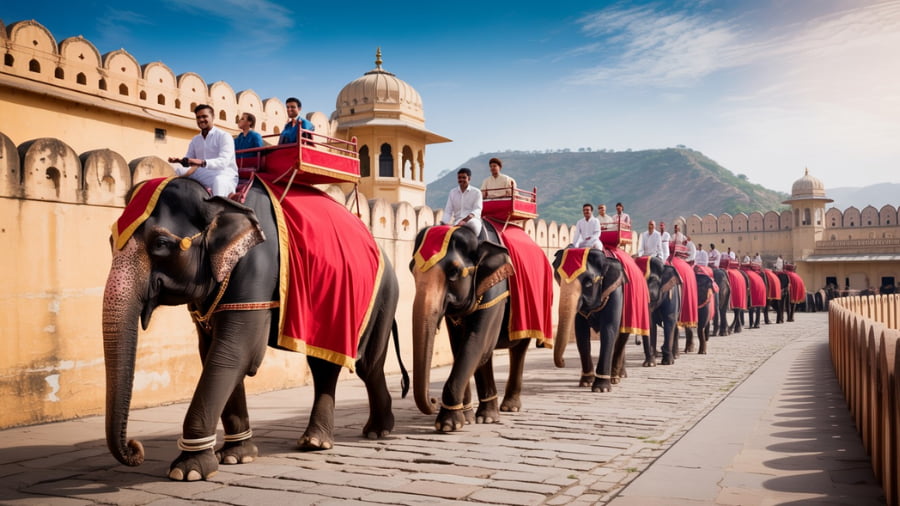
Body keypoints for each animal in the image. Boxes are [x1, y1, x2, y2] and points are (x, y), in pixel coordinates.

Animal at [103, 177, 403, 481]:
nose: (135, 447)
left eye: (161, 243)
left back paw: (376, 431)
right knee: (324, 365)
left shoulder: (257, 267)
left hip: (383, 295)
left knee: (367, 364)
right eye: (110, 241)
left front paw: (189, 470)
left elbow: (235, 352)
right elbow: (213, 351)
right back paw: (316, 442)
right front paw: (236, 456)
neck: (217, 200)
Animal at [410, 224, 529, 432]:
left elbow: (476, 341)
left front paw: (448, 425)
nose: (433, 400)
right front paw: (466, 418)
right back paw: (487, 417)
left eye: (453, 272)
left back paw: (508, 408)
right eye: (411, 269)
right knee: (487, 356)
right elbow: (460, 346)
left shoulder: (497, 291)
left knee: (518, 348)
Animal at [552, 248, 626, 393]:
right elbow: (581, 333)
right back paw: (620, 375)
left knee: (622, 336)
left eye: (588, 283)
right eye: (558, 278)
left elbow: (608, 330)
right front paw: (586, 382)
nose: (563, 362)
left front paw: (601, 389)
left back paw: (615, 378)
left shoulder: (615, 291)